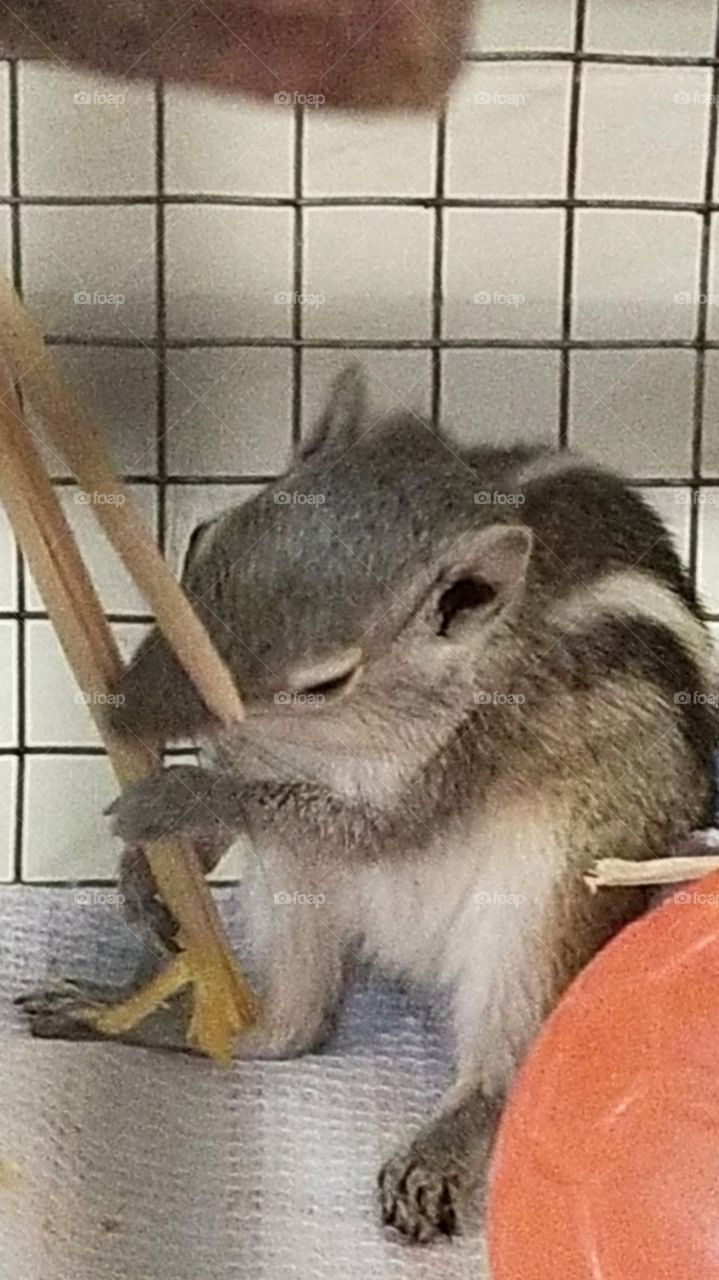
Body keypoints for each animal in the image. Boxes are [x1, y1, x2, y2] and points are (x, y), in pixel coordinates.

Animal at [20, 364, 717, 1244]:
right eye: (202, 535)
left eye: (327, 681)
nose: (123, 719)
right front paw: (147, 876)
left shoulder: (449, 764)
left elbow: (341, 822)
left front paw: (179, 798)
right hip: (295, 899)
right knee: (289, 1032)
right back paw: (129, 1016)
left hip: (542, 910)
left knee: (504, 1060)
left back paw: (438, 1152)